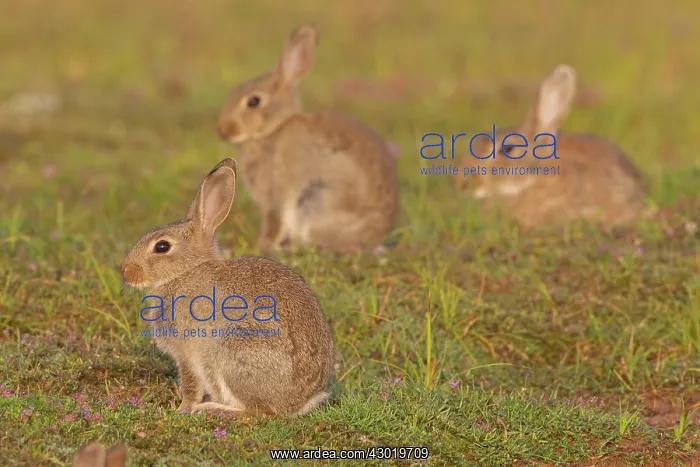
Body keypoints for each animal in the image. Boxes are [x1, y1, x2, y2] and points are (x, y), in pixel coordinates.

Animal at [120, 158, 335, 417]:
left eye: (162, 247)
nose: (125, 271)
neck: (185, 272)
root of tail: (300, 402)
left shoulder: (187, 351)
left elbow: (190, 384)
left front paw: (183, 408)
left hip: (230, 352)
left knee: (259, 411)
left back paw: (210, 408)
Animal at [216, 24, 399, 254]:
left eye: (253, 101)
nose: (223, 130)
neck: (274, 129)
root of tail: (376, 238)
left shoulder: (275, 192)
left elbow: (273, 221)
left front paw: (262, 247)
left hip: (315, 201)